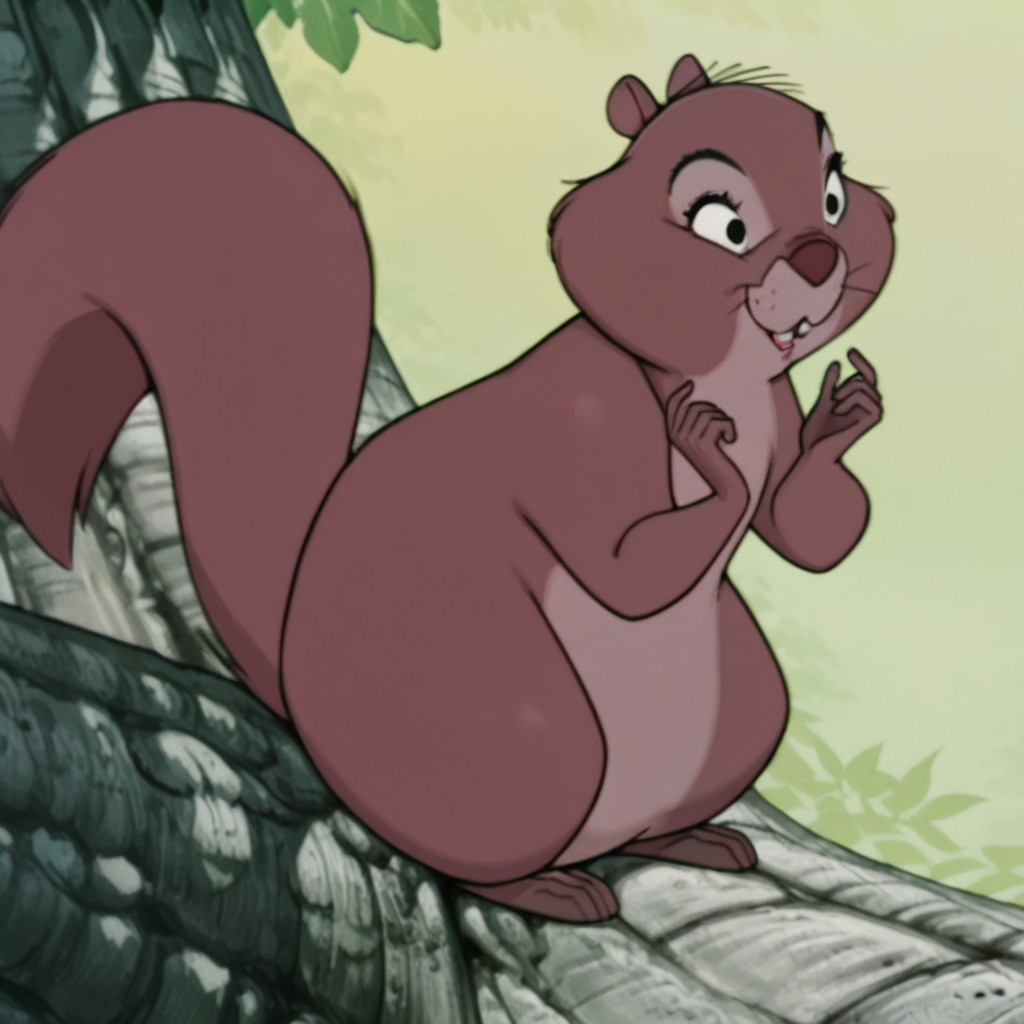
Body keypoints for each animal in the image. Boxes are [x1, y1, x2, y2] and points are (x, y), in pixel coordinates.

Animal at [0, 53, 894, 923]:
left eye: (834, 190)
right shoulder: (583, 423)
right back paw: (551, 890)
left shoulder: (773, 415)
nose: (821, 259)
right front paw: (709, 451)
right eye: (718, 221)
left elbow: (802, 532)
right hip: (527, 735)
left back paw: (691, 840)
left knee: (653, 820)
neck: (725, 375)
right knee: (478, 859)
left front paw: (846, 418)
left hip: (743, 708)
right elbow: (622, 568)